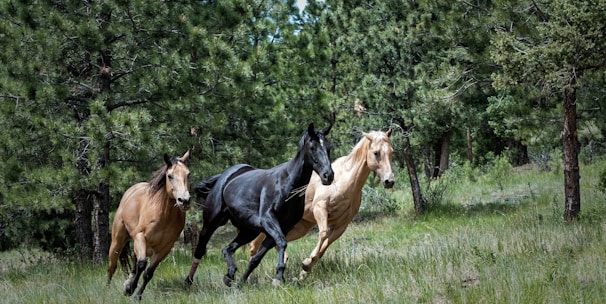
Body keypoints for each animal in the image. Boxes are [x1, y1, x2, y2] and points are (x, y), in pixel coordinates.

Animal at [107, 148, 192, 300]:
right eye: (170, 176)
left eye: (188, 174)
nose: (185, 200)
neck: (164, 215)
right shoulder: (140, 236)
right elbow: (142, 264)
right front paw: (130, 289)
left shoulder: (165, 248)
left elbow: (148, 272)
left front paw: (135, 294)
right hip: (118, 241)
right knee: (112, 265)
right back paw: (107, 291)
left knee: (134, 262)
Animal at [186, 122, 338, 286]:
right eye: (312, 147)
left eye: (328, 147)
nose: (328, 175)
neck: (287, 183)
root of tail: (224, 177)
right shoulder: (268, 219)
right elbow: (281, 242)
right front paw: (279, 277)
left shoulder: (283, 227)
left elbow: (257, 257)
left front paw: (242, 282)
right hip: (211, 222)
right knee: (200, 249)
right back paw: (188, 281)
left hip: (248, 230)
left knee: (227, 248)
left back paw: (230, 275)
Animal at [249, 128, 396, 278]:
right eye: (376, 152)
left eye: (391, 151)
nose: (389, 181)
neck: (345, 181)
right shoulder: (320, 208)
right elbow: (324, 234)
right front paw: (307, 263)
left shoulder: (342, 224)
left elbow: (327, 244)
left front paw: (306, 267)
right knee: (255, 245)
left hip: (300, 227)